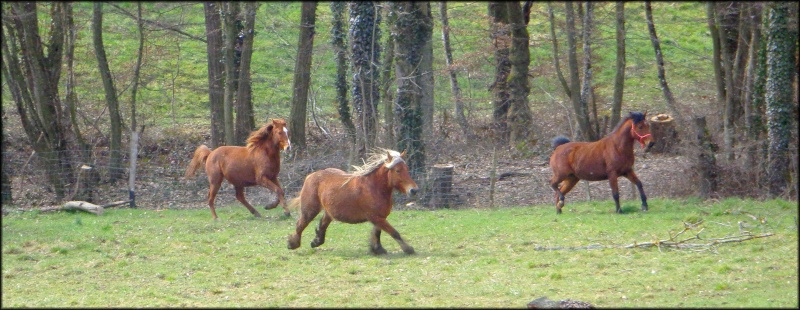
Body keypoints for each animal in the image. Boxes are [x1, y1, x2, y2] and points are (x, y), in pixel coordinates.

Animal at [290, 150, 422, 254]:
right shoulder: (376, 217)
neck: (374, 187)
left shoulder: (379, 217)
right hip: (310, 211)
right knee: (300, 224)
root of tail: (311, 176)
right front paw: (408, 249)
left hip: (328, 212)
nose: (414, 190)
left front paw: (377, 249)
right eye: (398, 170)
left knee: (322, 224)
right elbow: (393, 232)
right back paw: (293, 243)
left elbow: (377, 232)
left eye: (407, 169)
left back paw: (316, 242)